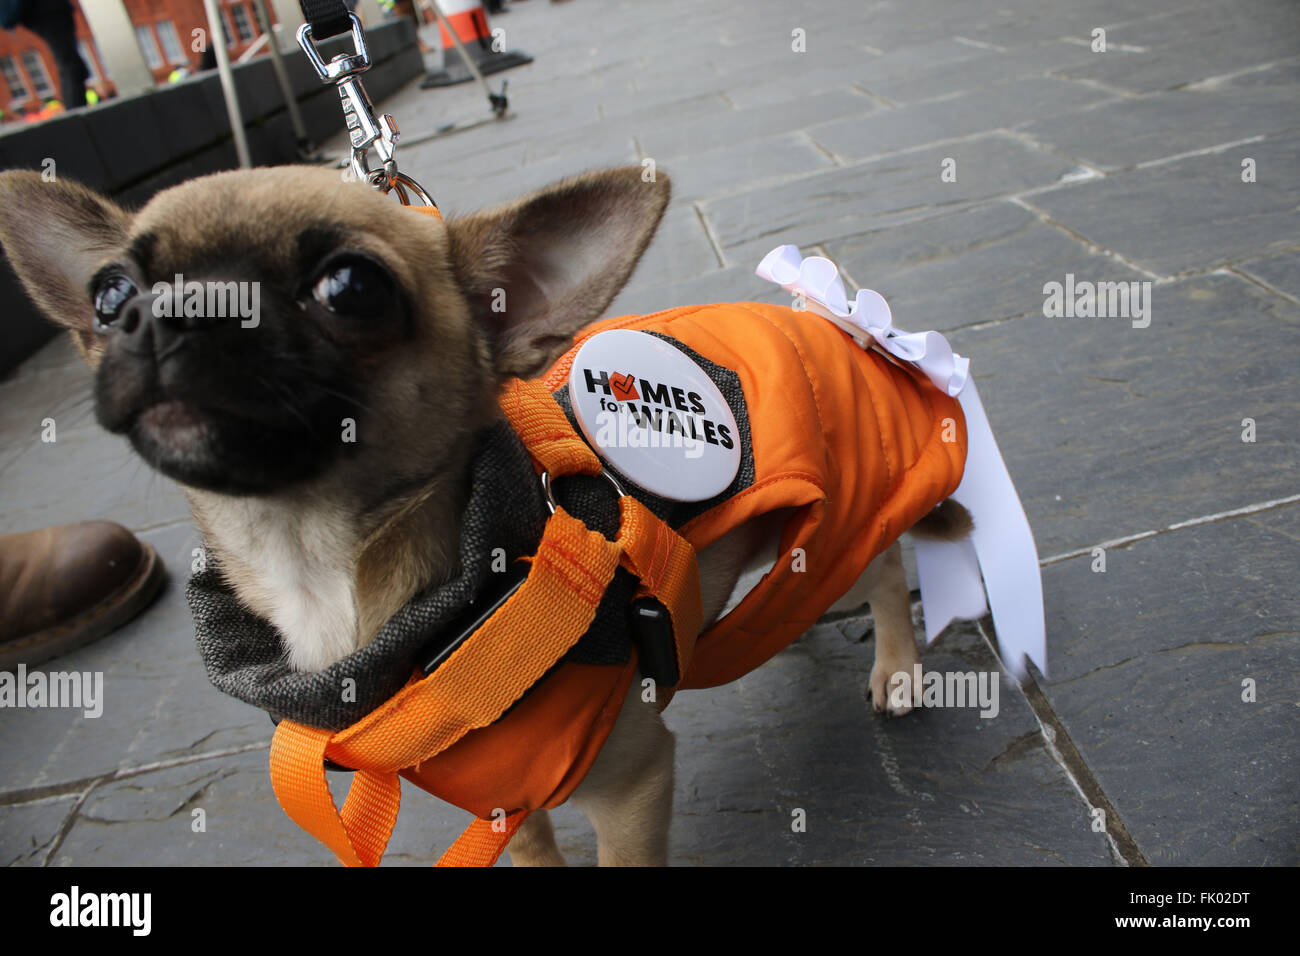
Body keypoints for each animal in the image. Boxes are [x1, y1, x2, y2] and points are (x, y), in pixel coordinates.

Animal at [0, 166, 967, 868]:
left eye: (351, 288)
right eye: (109, 293)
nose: (169, 309)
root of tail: (832, 320)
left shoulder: (633, 790)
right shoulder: (508, 802)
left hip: (850, 516)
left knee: (885, 571)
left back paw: (896, 666)